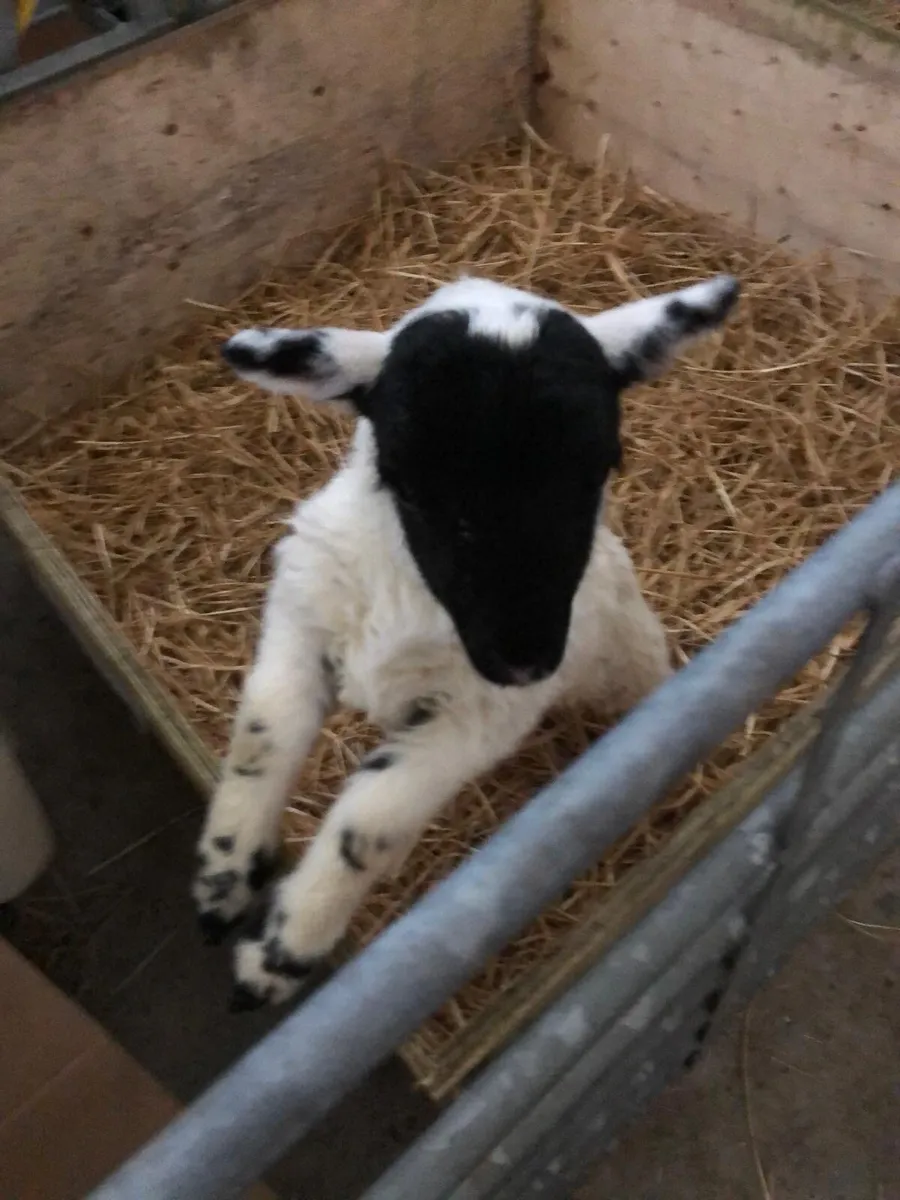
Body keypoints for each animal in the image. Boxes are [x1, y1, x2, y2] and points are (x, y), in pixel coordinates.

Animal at [193, 273, 740, 1010]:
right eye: (403, 477)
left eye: (605, 463)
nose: (525, 659)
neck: (407, 596)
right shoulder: (300, 617)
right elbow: (262, 740)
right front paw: (224, 879)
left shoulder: (477, 716)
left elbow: (370, 822)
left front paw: (282, 952)